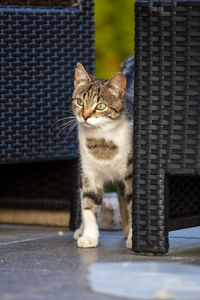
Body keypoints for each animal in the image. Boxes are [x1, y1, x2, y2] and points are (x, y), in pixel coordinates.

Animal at [72, 63, 133, 248]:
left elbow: (133, 203)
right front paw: (89, 236)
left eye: (100, 106)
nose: (85, 116)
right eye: (80, 102)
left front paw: (133, 238)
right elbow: (89, 203)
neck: (101, 139)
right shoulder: (89, 172)